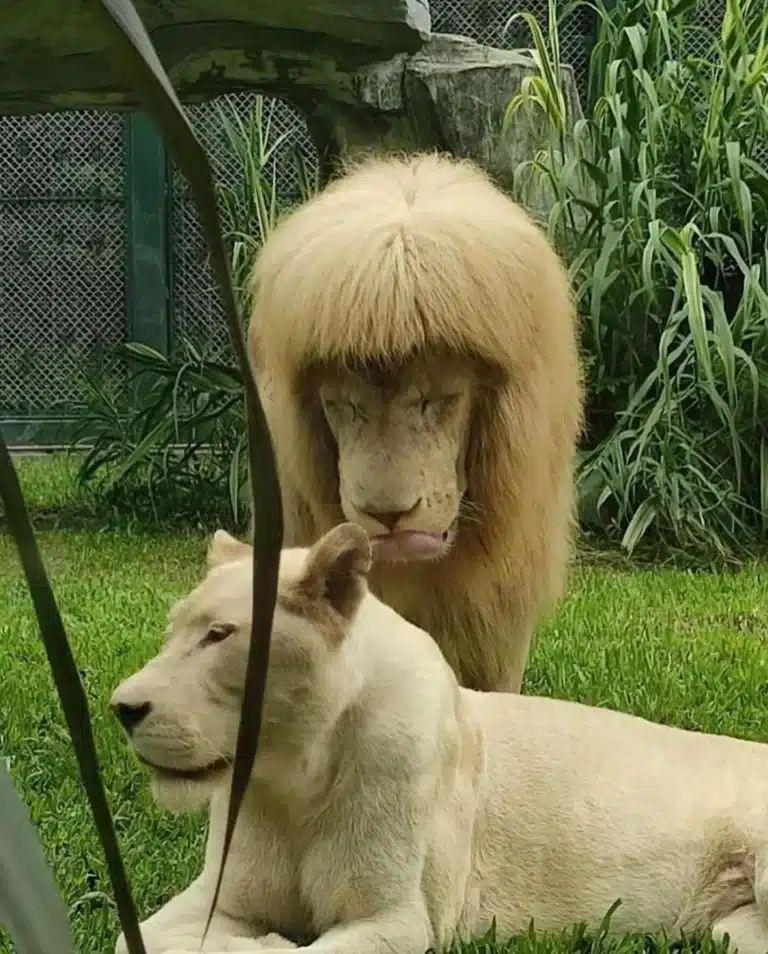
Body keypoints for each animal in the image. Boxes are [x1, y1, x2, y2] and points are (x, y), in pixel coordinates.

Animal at [113, 523, 768, 954]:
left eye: (220, 634)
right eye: (172, 631)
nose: (122, 708)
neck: (292, 780)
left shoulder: (401, 920)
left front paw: (260, 945)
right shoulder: (221, 897)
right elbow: (134, 938)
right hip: (731, 933)